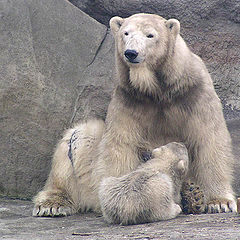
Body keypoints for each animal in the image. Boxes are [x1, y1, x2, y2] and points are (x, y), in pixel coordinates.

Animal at [32, 12, 237, 217]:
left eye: (150, 35)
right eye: (126, 33)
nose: (131, 53)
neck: (157, 91)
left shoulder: (195, 93)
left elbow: (209, 139)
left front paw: (220, 202)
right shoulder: (129, 99)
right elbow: (121, 145)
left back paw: (193, 193)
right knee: (79, 138)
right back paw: (52, 203)